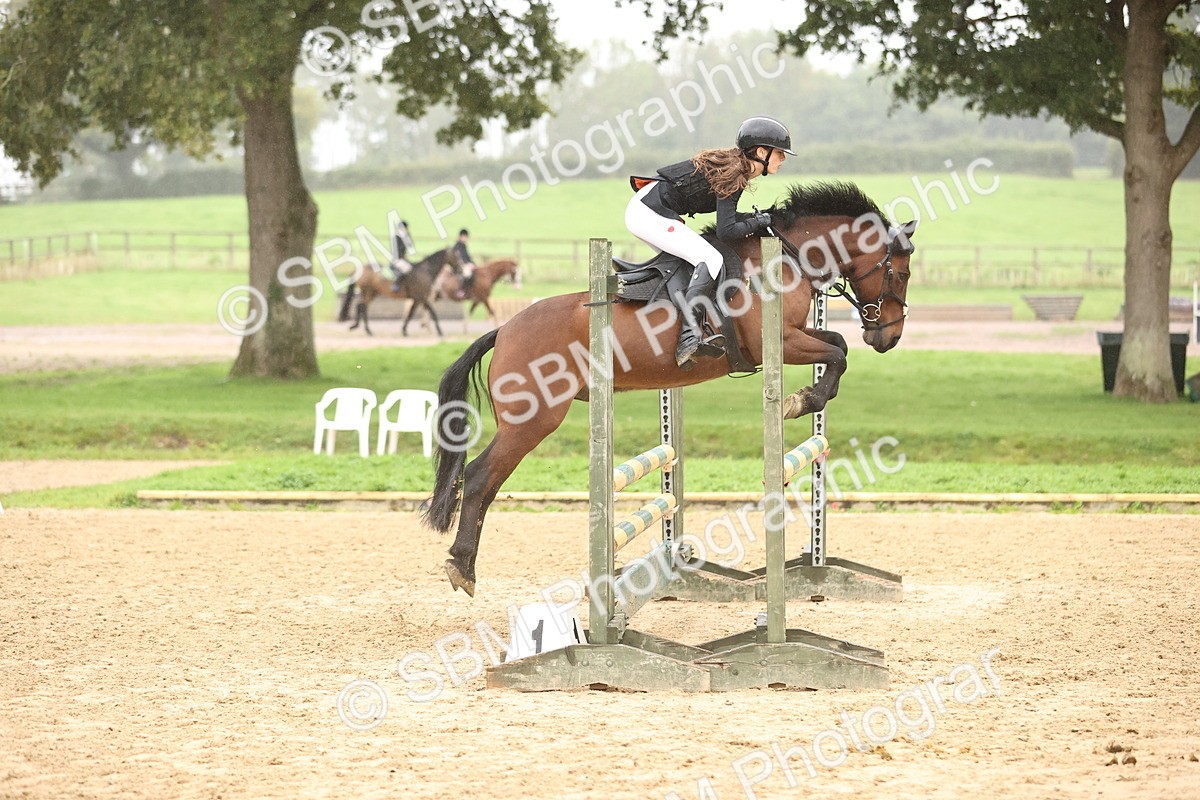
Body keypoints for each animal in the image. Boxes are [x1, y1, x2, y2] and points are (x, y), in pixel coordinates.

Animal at [423, 182, 917, 596]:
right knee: (481, 476)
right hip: (533, 419)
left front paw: (807, 398)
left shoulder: (795, 337)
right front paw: (802, 401)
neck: (787, 258)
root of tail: (505, 329)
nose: (889, 336)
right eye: (900, 272)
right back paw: (461, 566)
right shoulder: (776, 342)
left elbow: (837, 346)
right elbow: (837, 353)